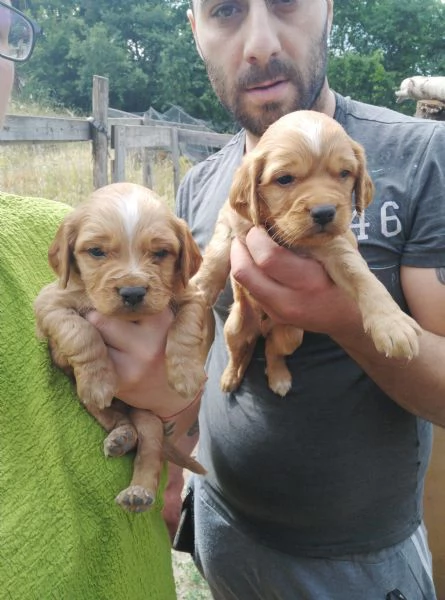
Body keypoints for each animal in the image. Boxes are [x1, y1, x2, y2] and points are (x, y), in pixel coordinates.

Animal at [35, 183, 207, 510]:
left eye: (160, 253)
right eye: (97, 251)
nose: (133, 291)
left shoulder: (192, 295)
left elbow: (187, 329)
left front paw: (187, 375)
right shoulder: (50, 302)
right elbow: (81, 333)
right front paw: (98, 381)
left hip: (150, 419)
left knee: (150, 452)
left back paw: (138, 491)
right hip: (93, 405)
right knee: (116, 417)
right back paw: (122, 436)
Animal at [194, 110, 420, 396]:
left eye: (344, 173)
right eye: (284, 179)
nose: (324, 212)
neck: (279, 231)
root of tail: (262, 326)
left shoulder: (336, 247)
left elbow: (362, 276)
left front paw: (393, 323)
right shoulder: (230, 219)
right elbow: (217, 252)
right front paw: (200, 287)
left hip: (291, 335)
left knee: (272, 351)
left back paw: (279, 378)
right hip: (234, 328)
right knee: (238, 352)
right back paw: (230, 376)